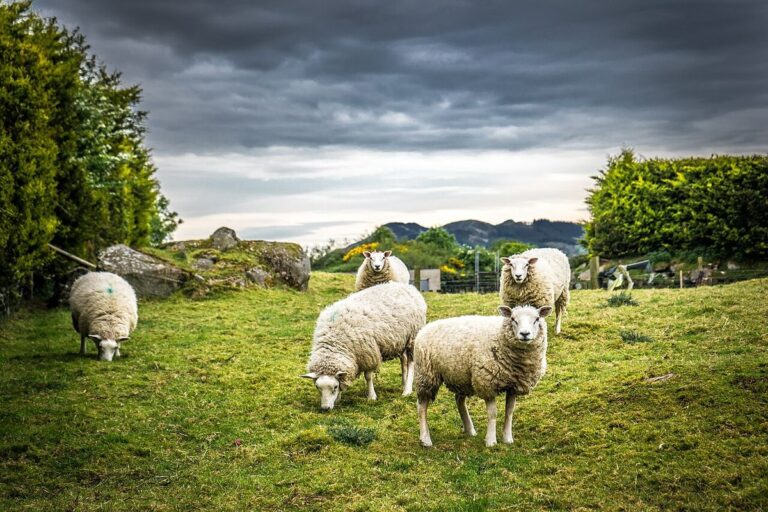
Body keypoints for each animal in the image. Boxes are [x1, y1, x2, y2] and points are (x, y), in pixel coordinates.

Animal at [301, 281, 426, 411]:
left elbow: (368, 377)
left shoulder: (368, 354)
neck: (334, 341)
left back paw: (407, 390)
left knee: (411, 363)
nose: (325, 409)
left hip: (413, 336)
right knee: (403, 361)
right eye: (317, 387)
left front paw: (371, 396)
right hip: (401, 341)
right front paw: (338, 398)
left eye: (335, 387)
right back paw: (404, 382)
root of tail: (408, 286)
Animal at [415, 305, 551, 448]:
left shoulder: (514, 386)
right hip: (426, 375)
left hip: (461, 376)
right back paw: (425, 439)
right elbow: (492, 414)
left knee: (459, 400)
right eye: (513, 319)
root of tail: (424, 329)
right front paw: (491, 441)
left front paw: (508, 439)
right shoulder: (487, 383)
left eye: (537, 319)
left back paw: (469, 429)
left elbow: (509, 412)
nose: (525, 334)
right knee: (421, 406)